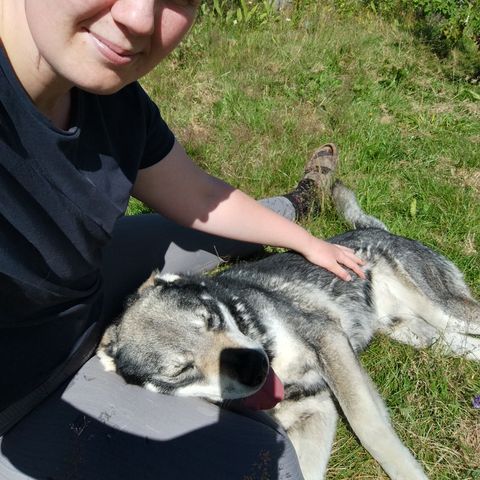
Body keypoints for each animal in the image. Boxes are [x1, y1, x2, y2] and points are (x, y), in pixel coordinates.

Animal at [98, 182, 480, 478]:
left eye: (210, 319)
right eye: (180, 370)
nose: (256, 368)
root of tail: (378, 229)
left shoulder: (328, 340)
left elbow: (368, 425)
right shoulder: (317, 409)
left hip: (443, 310)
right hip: (419, 333)